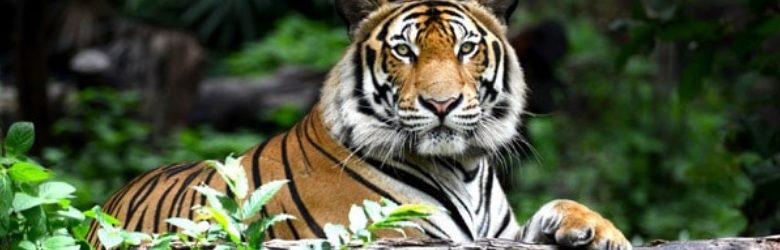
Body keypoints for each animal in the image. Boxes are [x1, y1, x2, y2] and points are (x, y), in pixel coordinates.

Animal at [88, 0, 632, 249]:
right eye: (404, 50)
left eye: (466, 48)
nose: (442, 103)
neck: (463, 167)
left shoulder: (502, 232)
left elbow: (559, 206)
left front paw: (601, 231)